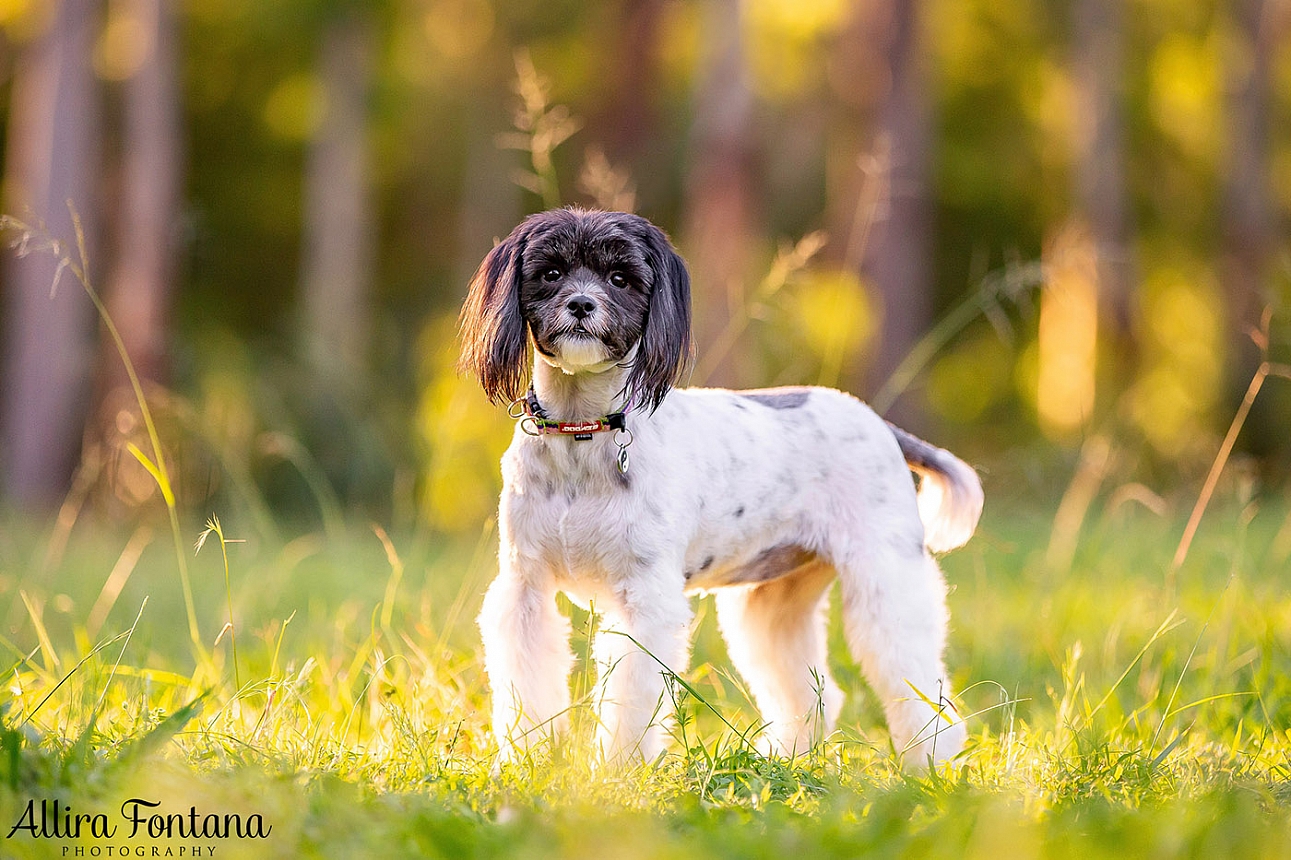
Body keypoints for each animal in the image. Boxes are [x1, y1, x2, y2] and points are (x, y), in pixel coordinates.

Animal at [459, 206, 981, 764]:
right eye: (551, 273)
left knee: (916, 682)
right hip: (773, 603)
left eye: (620, 278)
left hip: (886, 578)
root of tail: (879, 423)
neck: (582, 433)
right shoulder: (525, 590)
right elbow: (527, 685)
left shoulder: (645, 601)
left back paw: (931, 762)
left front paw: (618, 767)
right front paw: (528, 759)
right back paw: (790, 756)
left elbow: (631, 696)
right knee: (808, 691)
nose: (581, 302)